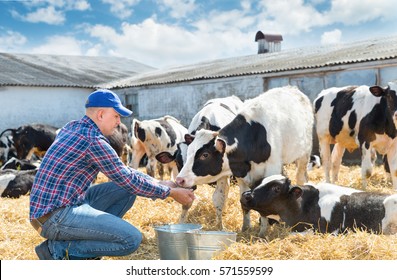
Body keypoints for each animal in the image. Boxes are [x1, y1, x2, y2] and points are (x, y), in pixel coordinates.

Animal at [155, 95, 243, 229]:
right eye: (178, 162)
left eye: (203, 156)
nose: (182, 182)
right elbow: (186, 203)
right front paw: (181, 223)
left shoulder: (223, 176)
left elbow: (218, 198)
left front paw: (220, 226)